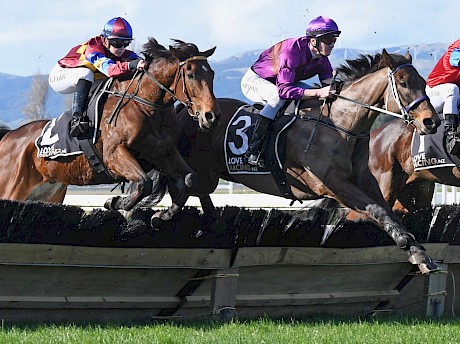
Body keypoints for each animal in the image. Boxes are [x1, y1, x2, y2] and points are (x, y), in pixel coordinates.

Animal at [0, 37, 220, 210]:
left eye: (212, 74)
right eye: (191, 75)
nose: (211, 115)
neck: (145, 106)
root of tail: (8, 137)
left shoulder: (162, 152)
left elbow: (190, 178)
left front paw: (162, 215)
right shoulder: (114, 153)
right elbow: (144, 183)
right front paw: (115, 202)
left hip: (48, 193)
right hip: (11, 191)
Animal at [143, 49, 442, 274]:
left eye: (423, 82)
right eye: (403, 83)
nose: (431, 121)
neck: (341, 124)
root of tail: (188, 111)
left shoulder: (365, 181)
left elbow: (388, 211)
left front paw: (421, 255)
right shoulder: (332, 184)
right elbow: (376, 211)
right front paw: (406, 244)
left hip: (209, 173)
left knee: (197, 193)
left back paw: (209, 222)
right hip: (199, 168)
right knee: (183, 188)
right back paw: (160, 216)